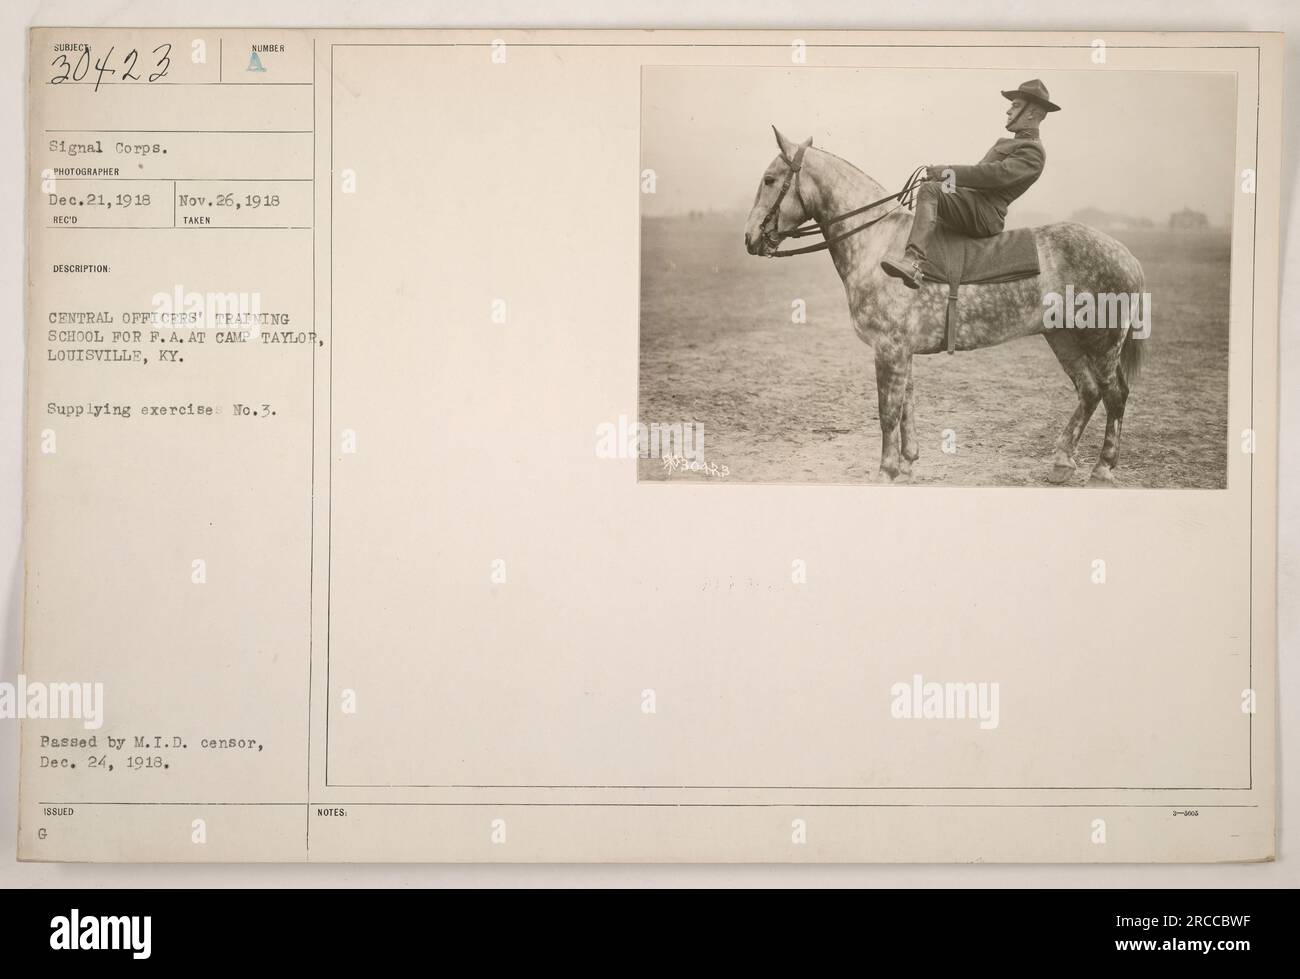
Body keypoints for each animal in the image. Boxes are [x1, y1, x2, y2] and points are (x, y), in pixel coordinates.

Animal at [743, 126, 1149, 486]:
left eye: (769, 179)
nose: (749, 239)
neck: (879, 244)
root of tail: (1127, 255)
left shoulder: (888, 349)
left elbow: (887, 412)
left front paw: (886, 471)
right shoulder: (899, 351)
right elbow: (905, 406)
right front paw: (907, 464)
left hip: (1102, 342)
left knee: (1115, 395)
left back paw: (1102, 468)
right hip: (1063, 338)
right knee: (1090, 391)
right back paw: (1063, 463)